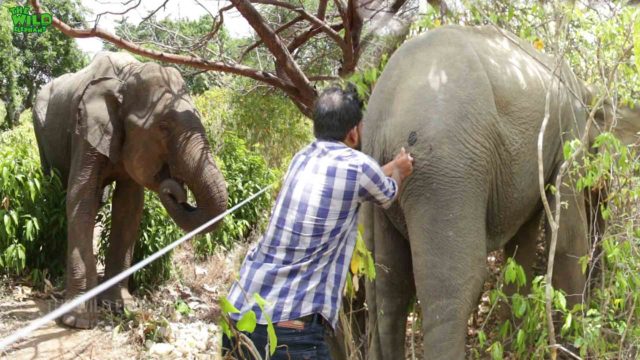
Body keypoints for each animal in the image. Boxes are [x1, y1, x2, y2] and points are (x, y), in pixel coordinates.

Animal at [32, 51, 229, 330]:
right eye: (164, 126)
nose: (176, 189)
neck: (128, 74)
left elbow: (129, 206)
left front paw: (122, 307)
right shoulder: (85, 131)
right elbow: (80, 198)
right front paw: (78, 321)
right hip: (41, 130)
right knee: (55, 185)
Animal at [360, 24, 640, 358]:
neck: (585, 88)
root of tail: (381, 114)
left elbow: (522, 245)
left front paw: (513, 344)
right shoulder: (568, 134)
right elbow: (568, 240)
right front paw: (577, 346)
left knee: (388, 287)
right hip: (446, 171)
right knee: (452, 288)